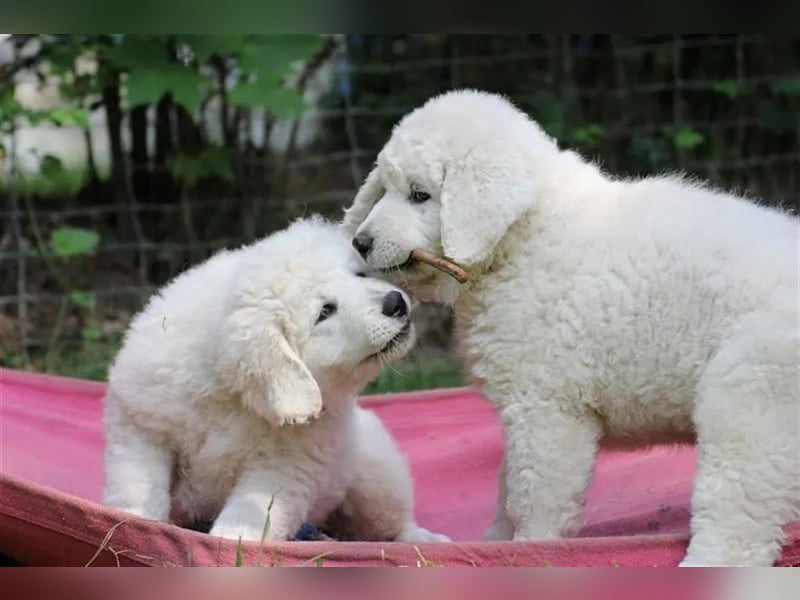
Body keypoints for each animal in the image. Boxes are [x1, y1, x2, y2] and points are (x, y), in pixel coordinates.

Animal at [102, 217, 446, 544]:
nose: (395, 302)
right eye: (325, 311)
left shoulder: (284, 465)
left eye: (359, 275)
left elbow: (252, 510)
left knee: (392, 523)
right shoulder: (143, 427)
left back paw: (421, 538)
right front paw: (132, 524)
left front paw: (231, 541)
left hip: (375, 475)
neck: (232, 393)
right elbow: (139, 484)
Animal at [344, 90, 800, 568]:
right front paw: (493, 542)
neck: (521, 236)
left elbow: (535, 495)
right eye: (384, 188)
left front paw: (529, 548)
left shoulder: (547, 408)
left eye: (420, 195)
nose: (360, 242)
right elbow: (508, 484)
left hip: (749, 396)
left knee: (738, 511)